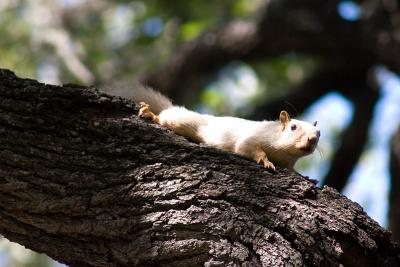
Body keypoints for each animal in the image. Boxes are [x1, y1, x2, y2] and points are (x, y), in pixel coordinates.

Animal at [136, 86, 320, 171]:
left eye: (319, 133)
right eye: (293, 127)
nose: (312, 139)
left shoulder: (289, 163)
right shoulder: (255, 137)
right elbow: (248, 147)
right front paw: (266, 161)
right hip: (184, 121)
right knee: (168, 117)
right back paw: (152, 115)